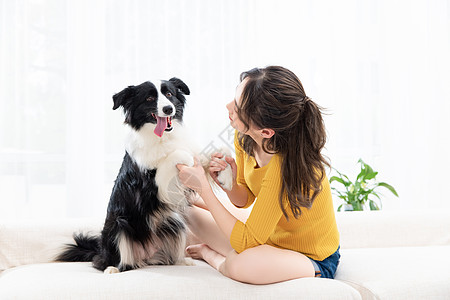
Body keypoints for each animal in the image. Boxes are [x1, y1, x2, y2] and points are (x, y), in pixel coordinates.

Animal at [56, 78, 232, 274]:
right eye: (149, 98)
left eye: (169, 94)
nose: (168, 109)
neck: (162, 138)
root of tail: (146, 257)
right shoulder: (157, 187)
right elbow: (178, 155)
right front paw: (189, 161)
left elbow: (218, 151)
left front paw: (225, 177)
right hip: (119, 224)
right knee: (109, 260)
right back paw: (112, 268)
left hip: (174, 224)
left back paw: (183, 261)